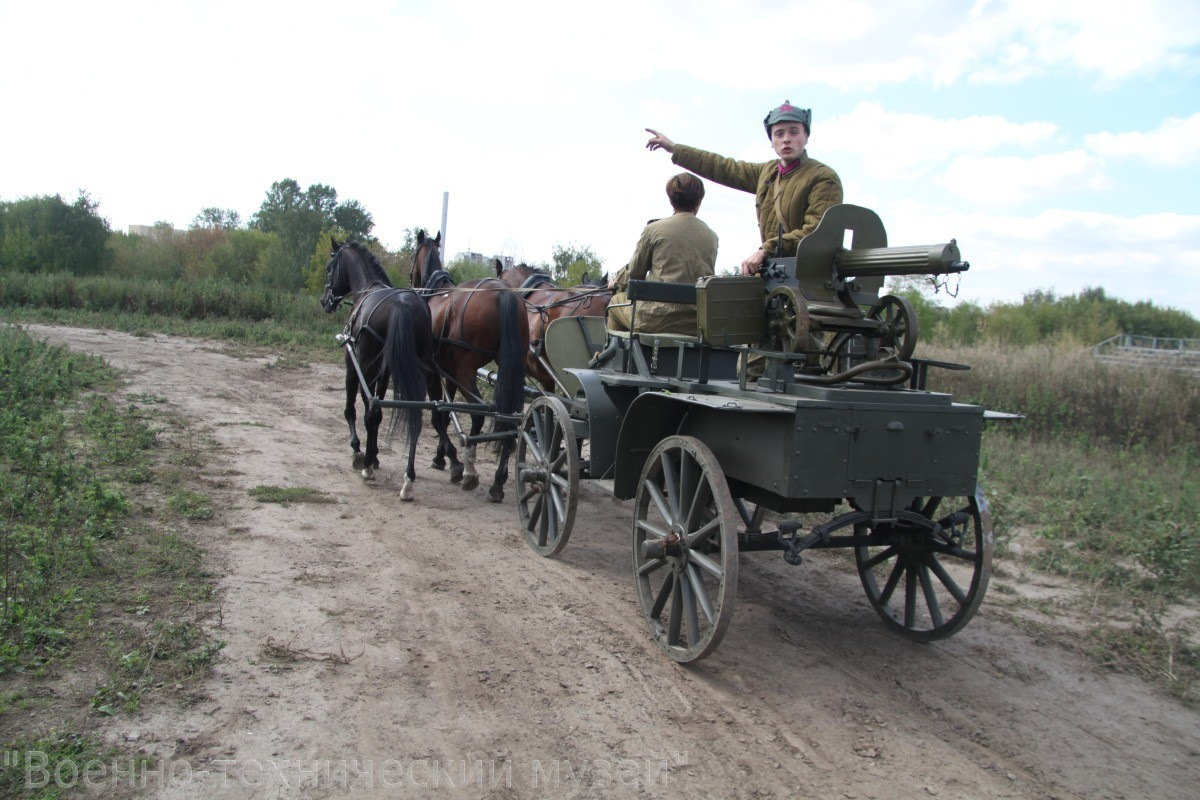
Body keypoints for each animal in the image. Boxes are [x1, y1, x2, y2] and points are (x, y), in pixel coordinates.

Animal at [319, 237, 436, 501]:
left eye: (330, 266)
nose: (325, 301)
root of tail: (403, 306)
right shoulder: (383, 375)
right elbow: (378, 413)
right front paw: (374, 456)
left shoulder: (355, 368)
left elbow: (356, 410)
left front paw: (360, 453)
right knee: (414, 418)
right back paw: (408, 480)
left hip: (367, 367)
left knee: (369, 412)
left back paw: (368, 468)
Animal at [410, 227, 528, 501]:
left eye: (412, 256)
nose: (411, 280)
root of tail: (504, 293)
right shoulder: (448, 373)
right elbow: (445, 413)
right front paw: (441, 457)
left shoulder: (434, 373)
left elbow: (438, 416)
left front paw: (453, 462)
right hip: (512, 372)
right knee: (511, 419)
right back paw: (498, 482)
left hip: (466, 372)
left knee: (478, 413)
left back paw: (470, 469)